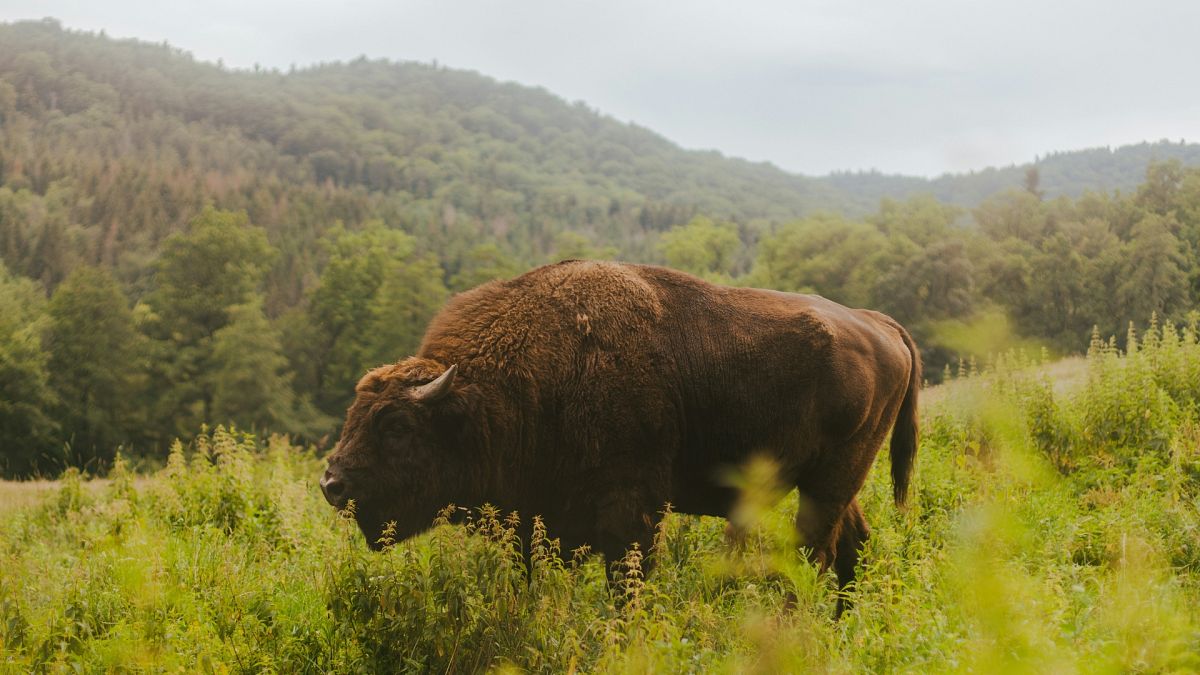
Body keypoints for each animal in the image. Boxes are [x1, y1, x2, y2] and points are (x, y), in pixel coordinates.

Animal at [321, 259, 919, 596]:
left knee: (815, 553)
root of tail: (878, 322)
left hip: (830, 482)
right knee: (852, 547)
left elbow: (625, 588)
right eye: (354, 415)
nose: (333, 484)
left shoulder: (632, 513)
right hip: (831, 483)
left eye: (397, 425)